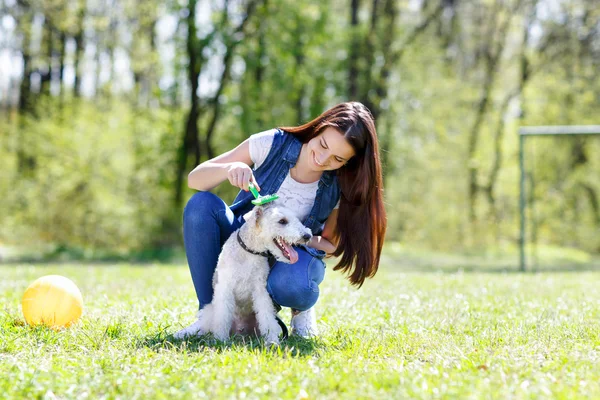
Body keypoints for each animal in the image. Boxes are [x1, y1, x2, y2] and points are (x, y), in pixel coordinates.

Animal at [173, 205, 312, 346]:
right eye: (282, 221)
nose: (307, 236)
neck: (250, 250)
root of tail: (239, 331)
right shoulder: (225, 288)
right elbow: (222, 317)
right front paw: (220, 340)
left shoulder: (260, 291)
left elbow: (267, 318)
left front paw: (272, 341)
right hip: (209, 313)